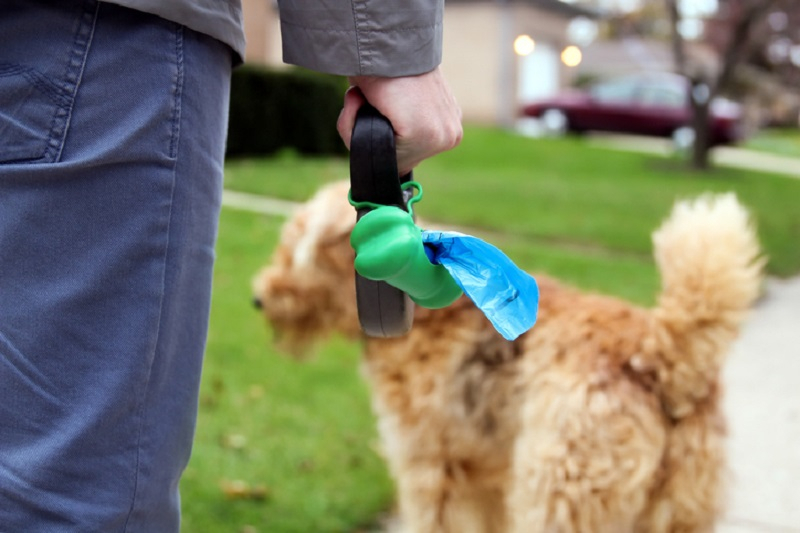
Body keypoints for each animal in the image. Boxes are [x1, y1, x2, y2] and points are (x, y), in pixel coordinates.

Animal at [252, 181, 764, 528]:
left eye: (296, 246)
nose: (258, 297)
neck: (424, 314)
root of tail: (661, 356)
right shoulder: (484, 476)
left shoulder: (430, 467)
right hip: (678, 509)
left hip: (562, 492)